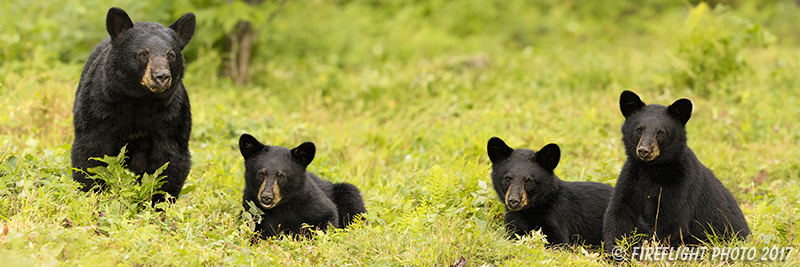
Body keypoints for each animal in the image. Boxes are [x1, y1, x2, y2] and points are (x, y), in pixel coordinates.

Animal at [72, 7, 197, 205]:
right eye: (143, 54)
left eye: (171, 55)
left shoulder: (172, 114)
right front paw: (92, 193)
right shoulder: (99, 107)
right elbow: (91, 151)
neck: (140, 101)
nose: (161, 76)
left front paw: (159, 202)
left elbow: (170, 158)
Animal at [236, 135, 364, 240]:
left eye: (282, 176)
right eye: (260, 174)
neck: (282, 206)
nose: (267, 197)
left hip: (347, 192)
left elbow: (327, 216)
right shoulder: (250, 208)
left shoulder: (310, 201)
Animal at [608, 91, 752, 255]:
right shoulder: (630, 179)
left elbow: (671, 221)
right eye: (639, 129)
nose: (644, 150)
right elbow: (620, 215)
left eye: (661, 133)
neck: (651, 169)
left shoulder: (680, 183)